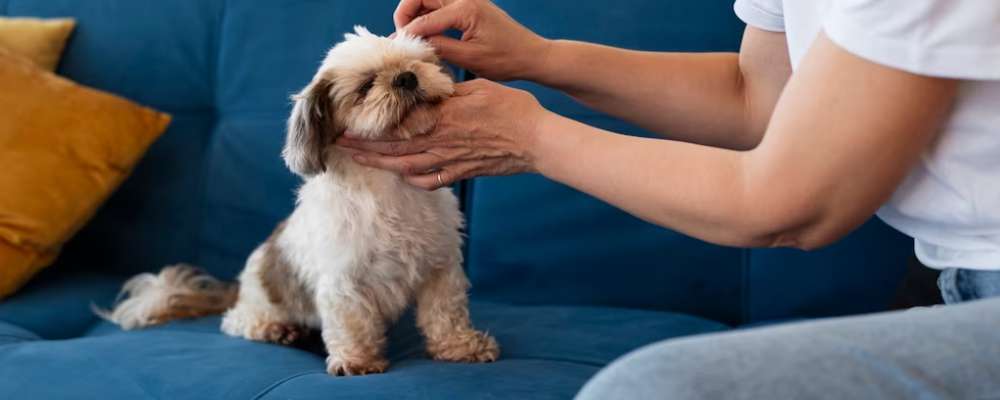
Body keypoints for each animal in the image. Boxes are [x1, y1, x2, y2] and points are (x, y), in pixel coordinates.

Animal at [99, 26, 500, 376]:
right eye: (365, 86)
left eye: (418, 63)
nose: (406, 78)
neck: (389, 187)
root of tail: (239, 286)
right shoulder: (343, 281)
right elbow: (352, 322)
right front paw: (356, 361)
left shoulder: (441, 266)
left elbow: (445, 314)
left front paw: (462, 347)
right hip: (263, 305)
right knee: (236, 322)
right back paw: (276, 329)